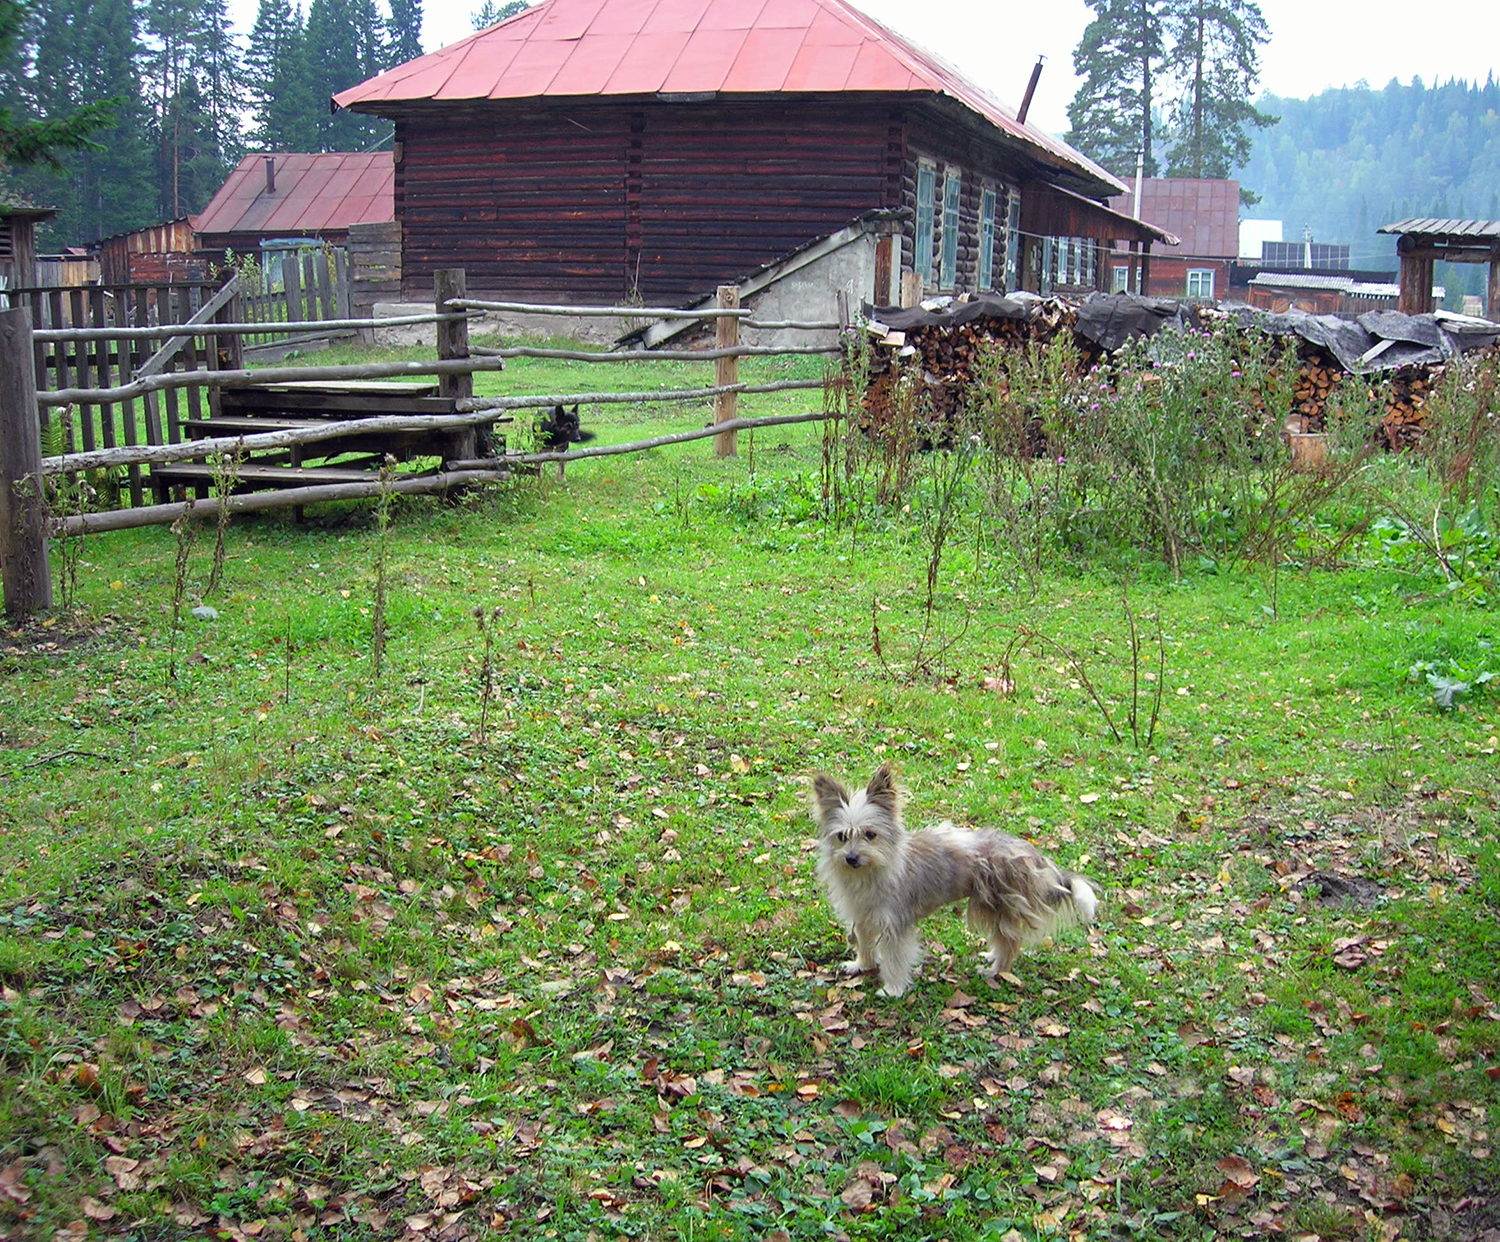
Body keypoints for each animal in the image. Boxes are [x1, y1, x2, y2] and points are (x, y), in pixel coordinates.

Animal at [810, 762, 1104, 996]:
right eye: (842, 836)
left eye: (870, 835)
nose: (851, 858)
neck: (871, 871)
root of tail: (1032, 853)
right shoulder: (862, 916)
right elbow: (864, 942)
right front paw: (862, 965)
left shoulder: (895, 926)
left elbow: (894, 960)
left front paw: (893, 989)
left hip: (995, 906)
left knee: (1010, 942)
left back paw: (996, 970)